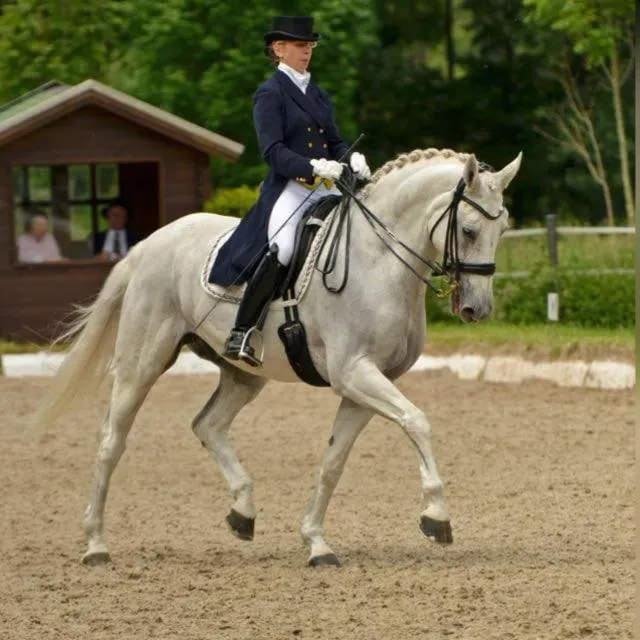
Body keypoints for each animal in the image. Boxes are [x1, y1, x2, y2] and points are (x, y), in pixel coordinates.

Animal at [37, 147, 522, 567]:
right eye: (469, 231)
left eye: (502, 231)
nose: (477, 310)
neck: (379, 260)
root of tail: (145, 247)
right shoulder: (355, 373)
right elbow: (418, 421)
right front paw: (436, 517)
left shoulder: (366, 384)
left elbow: (333, 462)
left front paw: (316, 542)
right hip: (143, 363)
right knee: (111, 441)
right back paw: (96, 545)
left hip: (242, 372)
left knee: (207, 424)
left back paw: (243, 512)